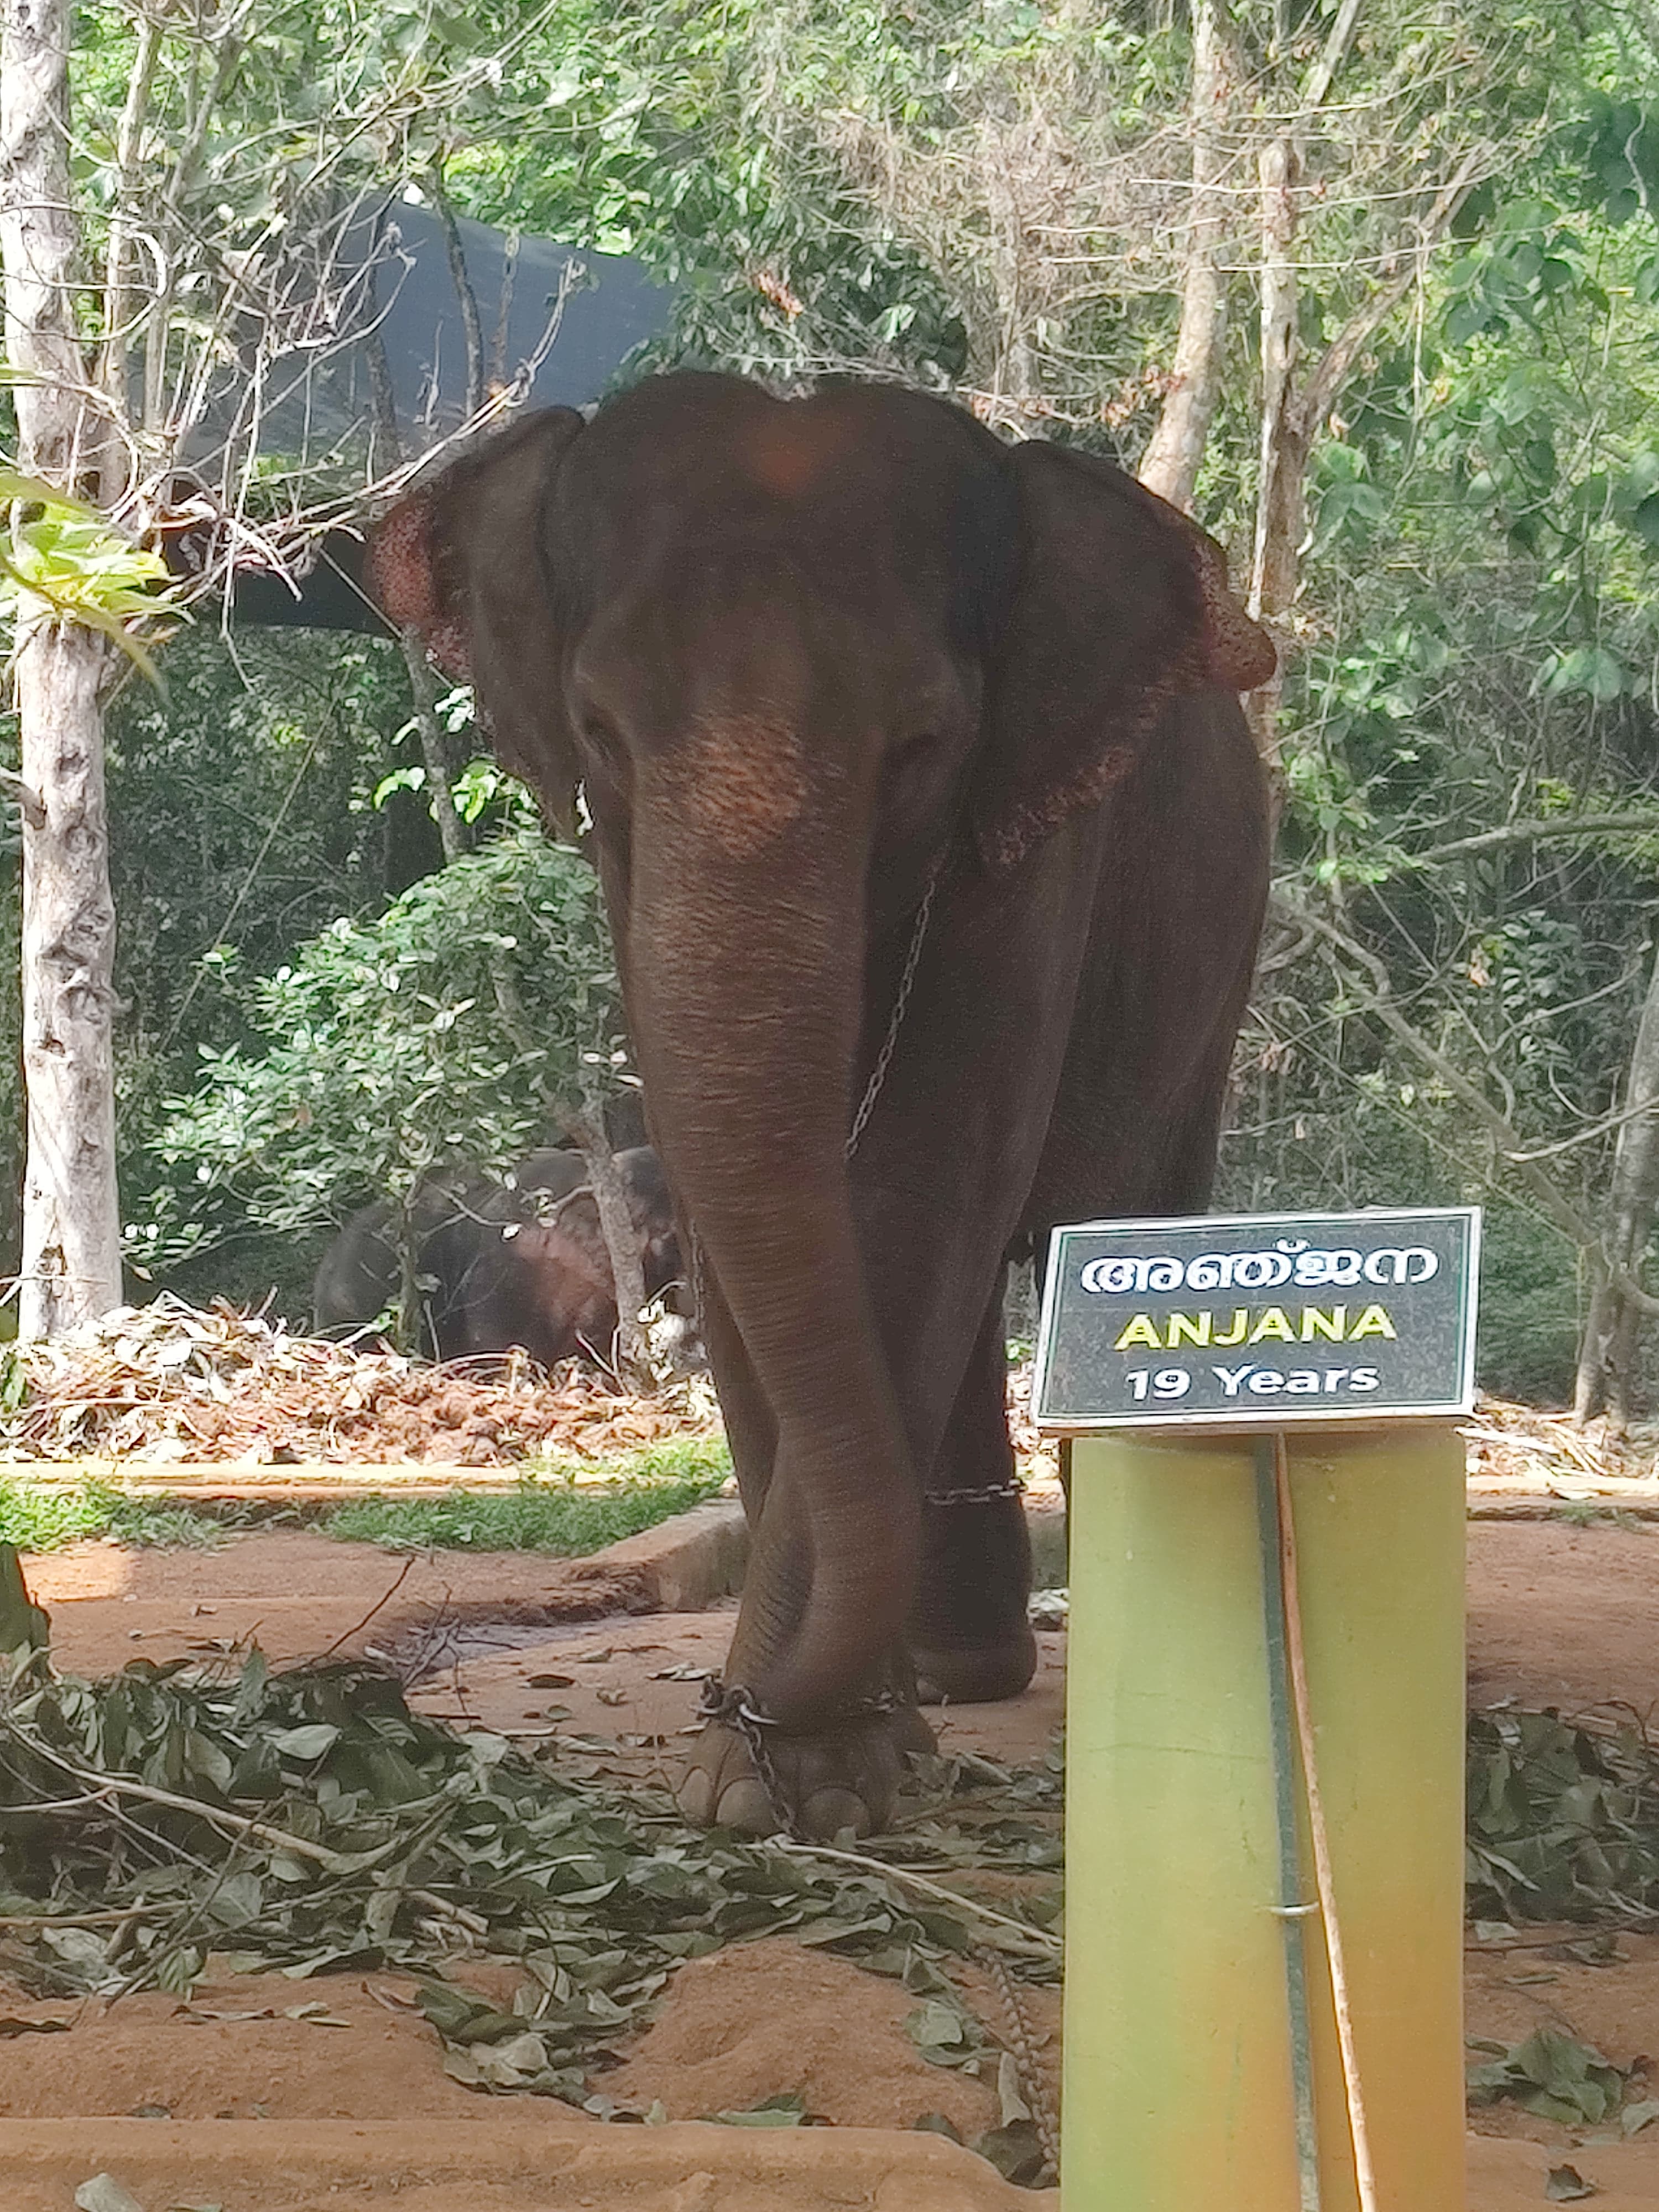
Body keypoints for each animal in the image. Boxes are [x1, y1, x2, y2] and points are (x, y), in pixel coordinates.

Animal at [367, 370, 1275, 1839]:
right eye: (600, 729)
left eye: (925, 744)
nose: (739, 1698)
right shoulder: (626, 872)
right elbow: (743, 1209)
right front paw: (785, 1771)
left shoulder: (1030, 843)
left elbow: (920, 1182)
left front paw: (794, 1776)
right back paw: (958, 1673)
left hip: (1211, 974)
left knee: (1113, 1221)